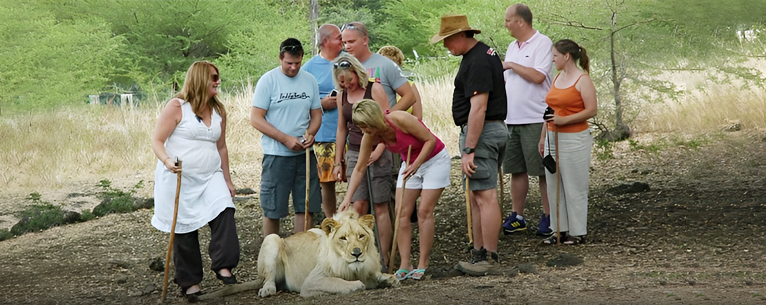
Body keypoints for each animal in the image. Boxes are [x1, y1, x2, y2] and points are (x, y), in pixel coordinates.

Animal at [258, 210, 402, 296]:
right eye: (343, 238)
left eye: (361, 236)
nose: (357, 253)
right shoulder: (311, 281)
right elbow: (336, 281)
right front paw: (355, 284)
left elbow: (375, 275)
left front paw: (388, 278)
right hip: (271, 238)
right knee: (268, 278)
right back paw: (267, 289)